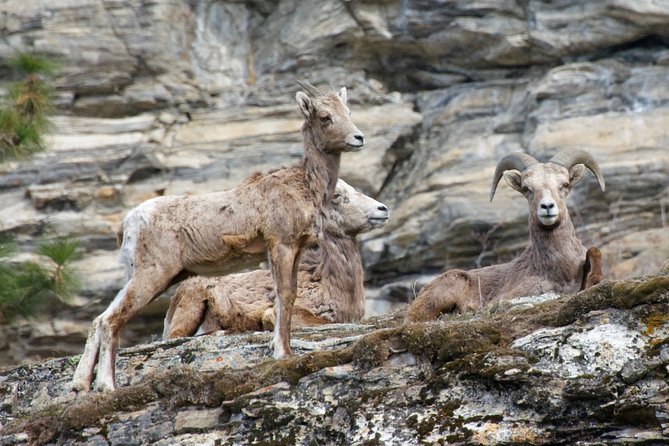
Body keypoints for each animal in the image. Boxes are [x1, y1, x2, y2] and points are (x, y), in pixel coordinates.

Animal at [73, 82, 366, 392]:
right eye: (324, 117)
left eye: (348, 111)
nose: (358, 138)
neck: (306, 187)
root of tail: (129, 223)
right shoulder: (281, 245)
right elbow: (284, 296)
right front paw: (282, 353)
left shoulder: (295, 251)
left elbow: (289, 295)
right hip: (153, 276)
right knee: (112, 321)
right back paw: (107, 386)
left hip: (141, 276)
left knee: (100, 319)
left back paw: (80, 385)